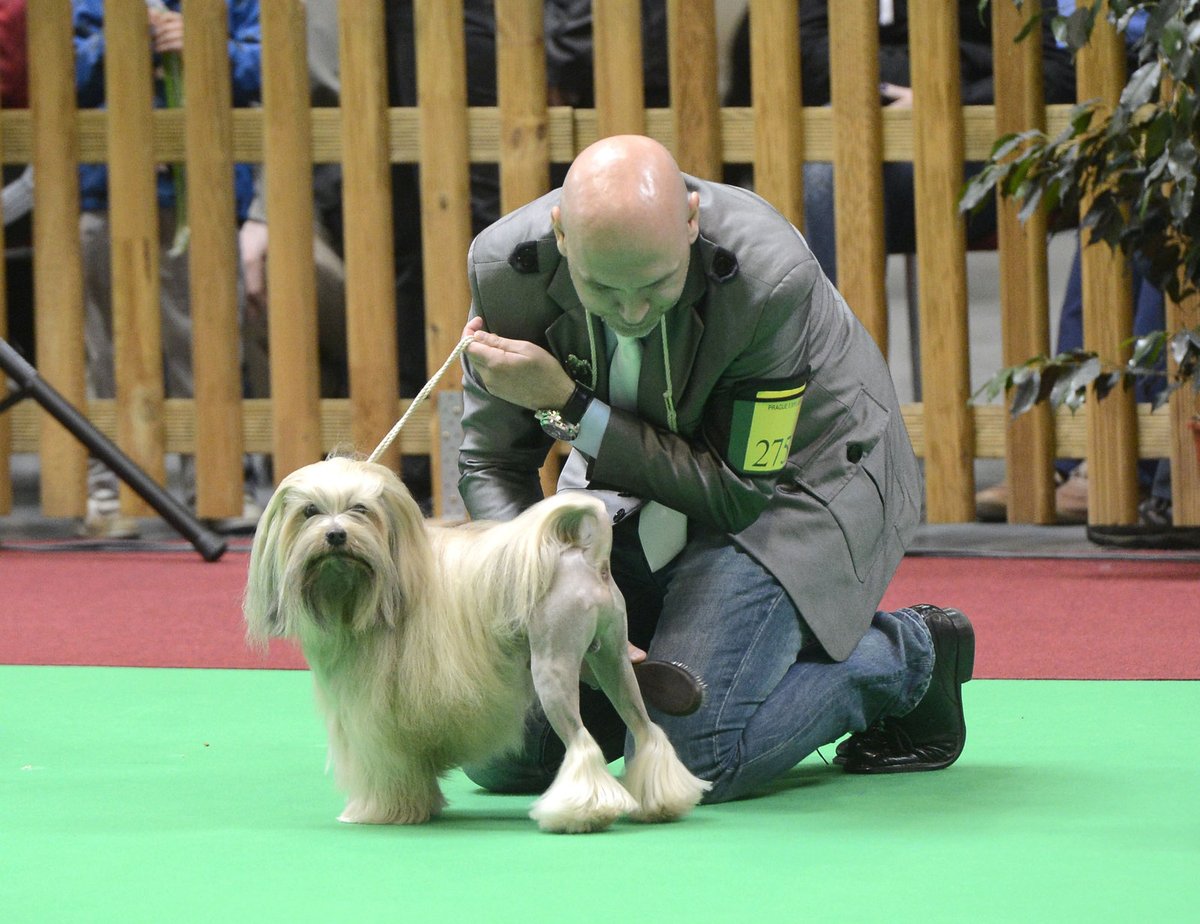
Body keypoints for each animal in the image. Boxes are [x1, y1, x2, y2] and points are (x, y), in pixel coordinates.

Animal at [246, 456, 710, 830]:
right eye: (310, 512)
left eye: (359, 509)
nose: (336, 535)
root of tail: (581, 555)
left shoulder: (376, 715)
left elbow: (389, 767)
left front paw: (381, 812)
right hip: (615, 663)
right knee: (646, 730)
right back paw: (661, 802)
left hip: (553, 669)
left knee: (582, 744)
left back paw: (579, 813)